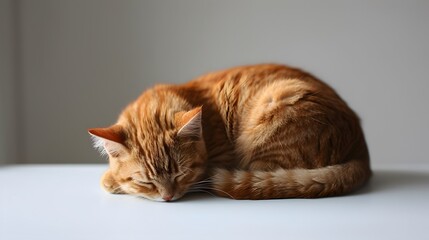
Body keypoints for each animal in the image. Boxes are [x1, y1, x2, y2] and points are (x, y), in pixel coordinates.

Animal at [88, 63, 370, 201]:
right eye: (146, 182)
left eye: (181, 174)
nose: (169, 197)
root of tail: (362, 153)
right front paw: (112, 178)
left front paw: (111, 180)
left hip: (275, 108)